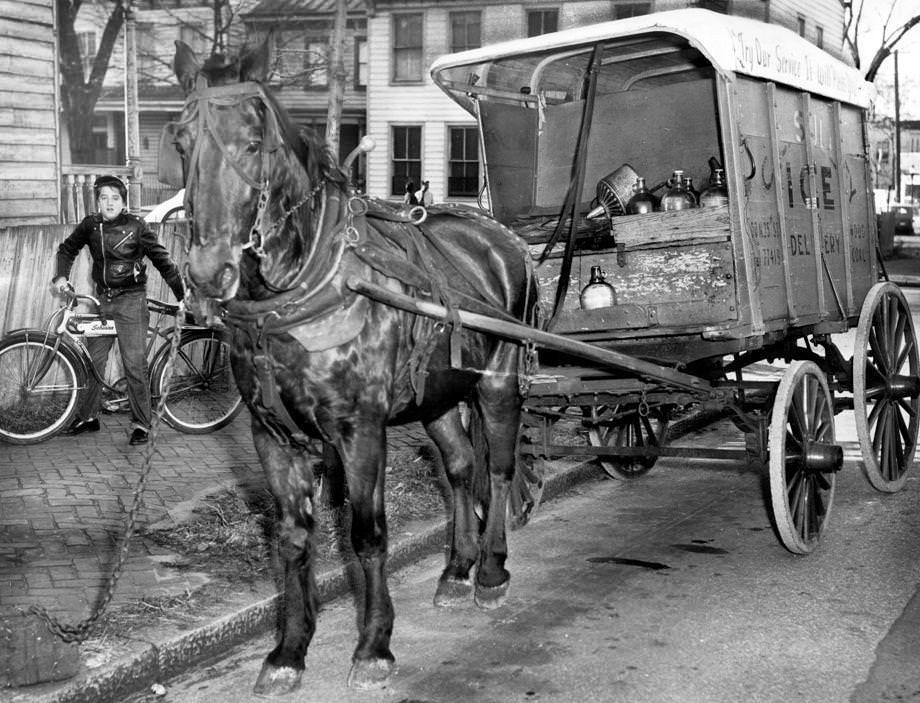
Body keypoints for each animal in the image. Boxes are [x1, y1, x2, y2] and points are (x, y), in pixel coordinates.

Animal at [169, 38, 536, 692]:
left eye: (253, 143)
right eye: (181, 142)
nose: (209, 273)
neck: (302, 287)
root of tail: (504, 241)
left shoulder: (360, 429)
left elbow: (367, 534)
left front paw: (373, 645)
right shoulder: (273, 435)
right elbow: (293, 539)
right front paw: (289, 650)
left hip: (497, 383)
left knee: (497, 469)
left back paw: (491, 571)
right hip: (437, 395)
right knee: (460, 468)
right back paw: (457, 569)